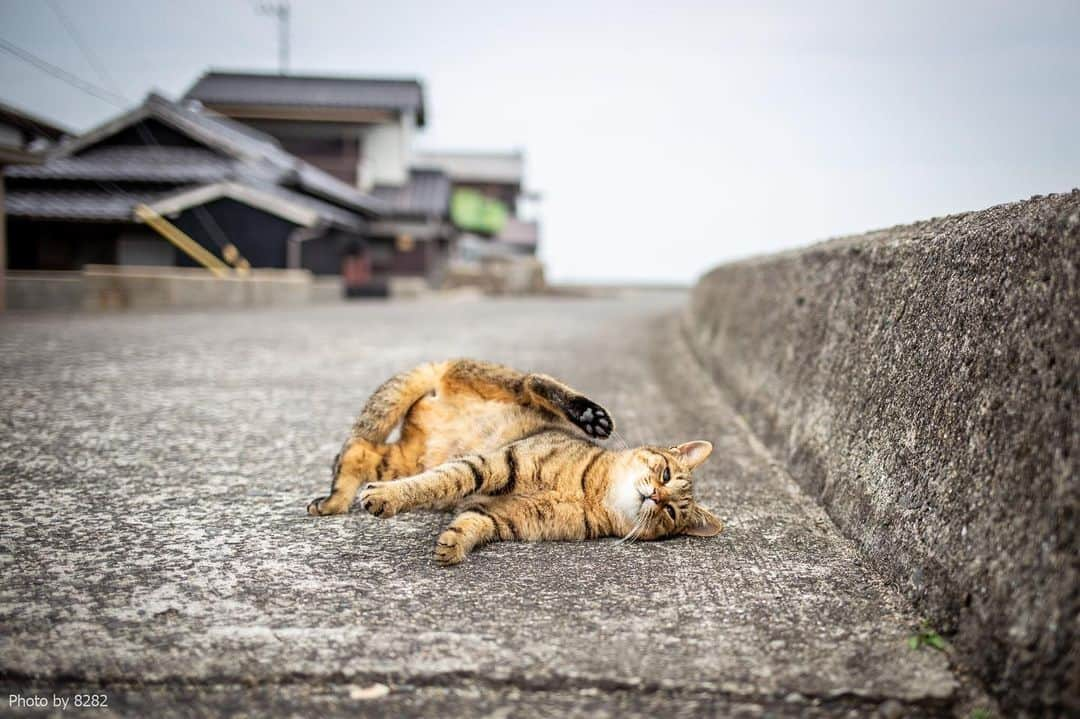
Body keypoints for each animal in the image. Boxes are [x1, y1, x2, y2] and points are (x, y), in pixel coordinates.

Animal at [308, 356, 721, 561]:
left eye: (671, 513)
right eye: (665, 474)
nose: (656, 496)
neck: (591, 493)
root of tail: (440, 371)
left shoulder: (508, 518)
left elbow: (474, 523)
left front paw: (453, 545)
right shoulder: (495, 463)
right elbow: (441, 481)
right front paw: (387, 497)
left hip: (402, 458)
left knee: (358, 452)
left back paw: (333, 501)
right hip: (497, 384)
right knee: (531, 381)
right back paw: (590, 414)